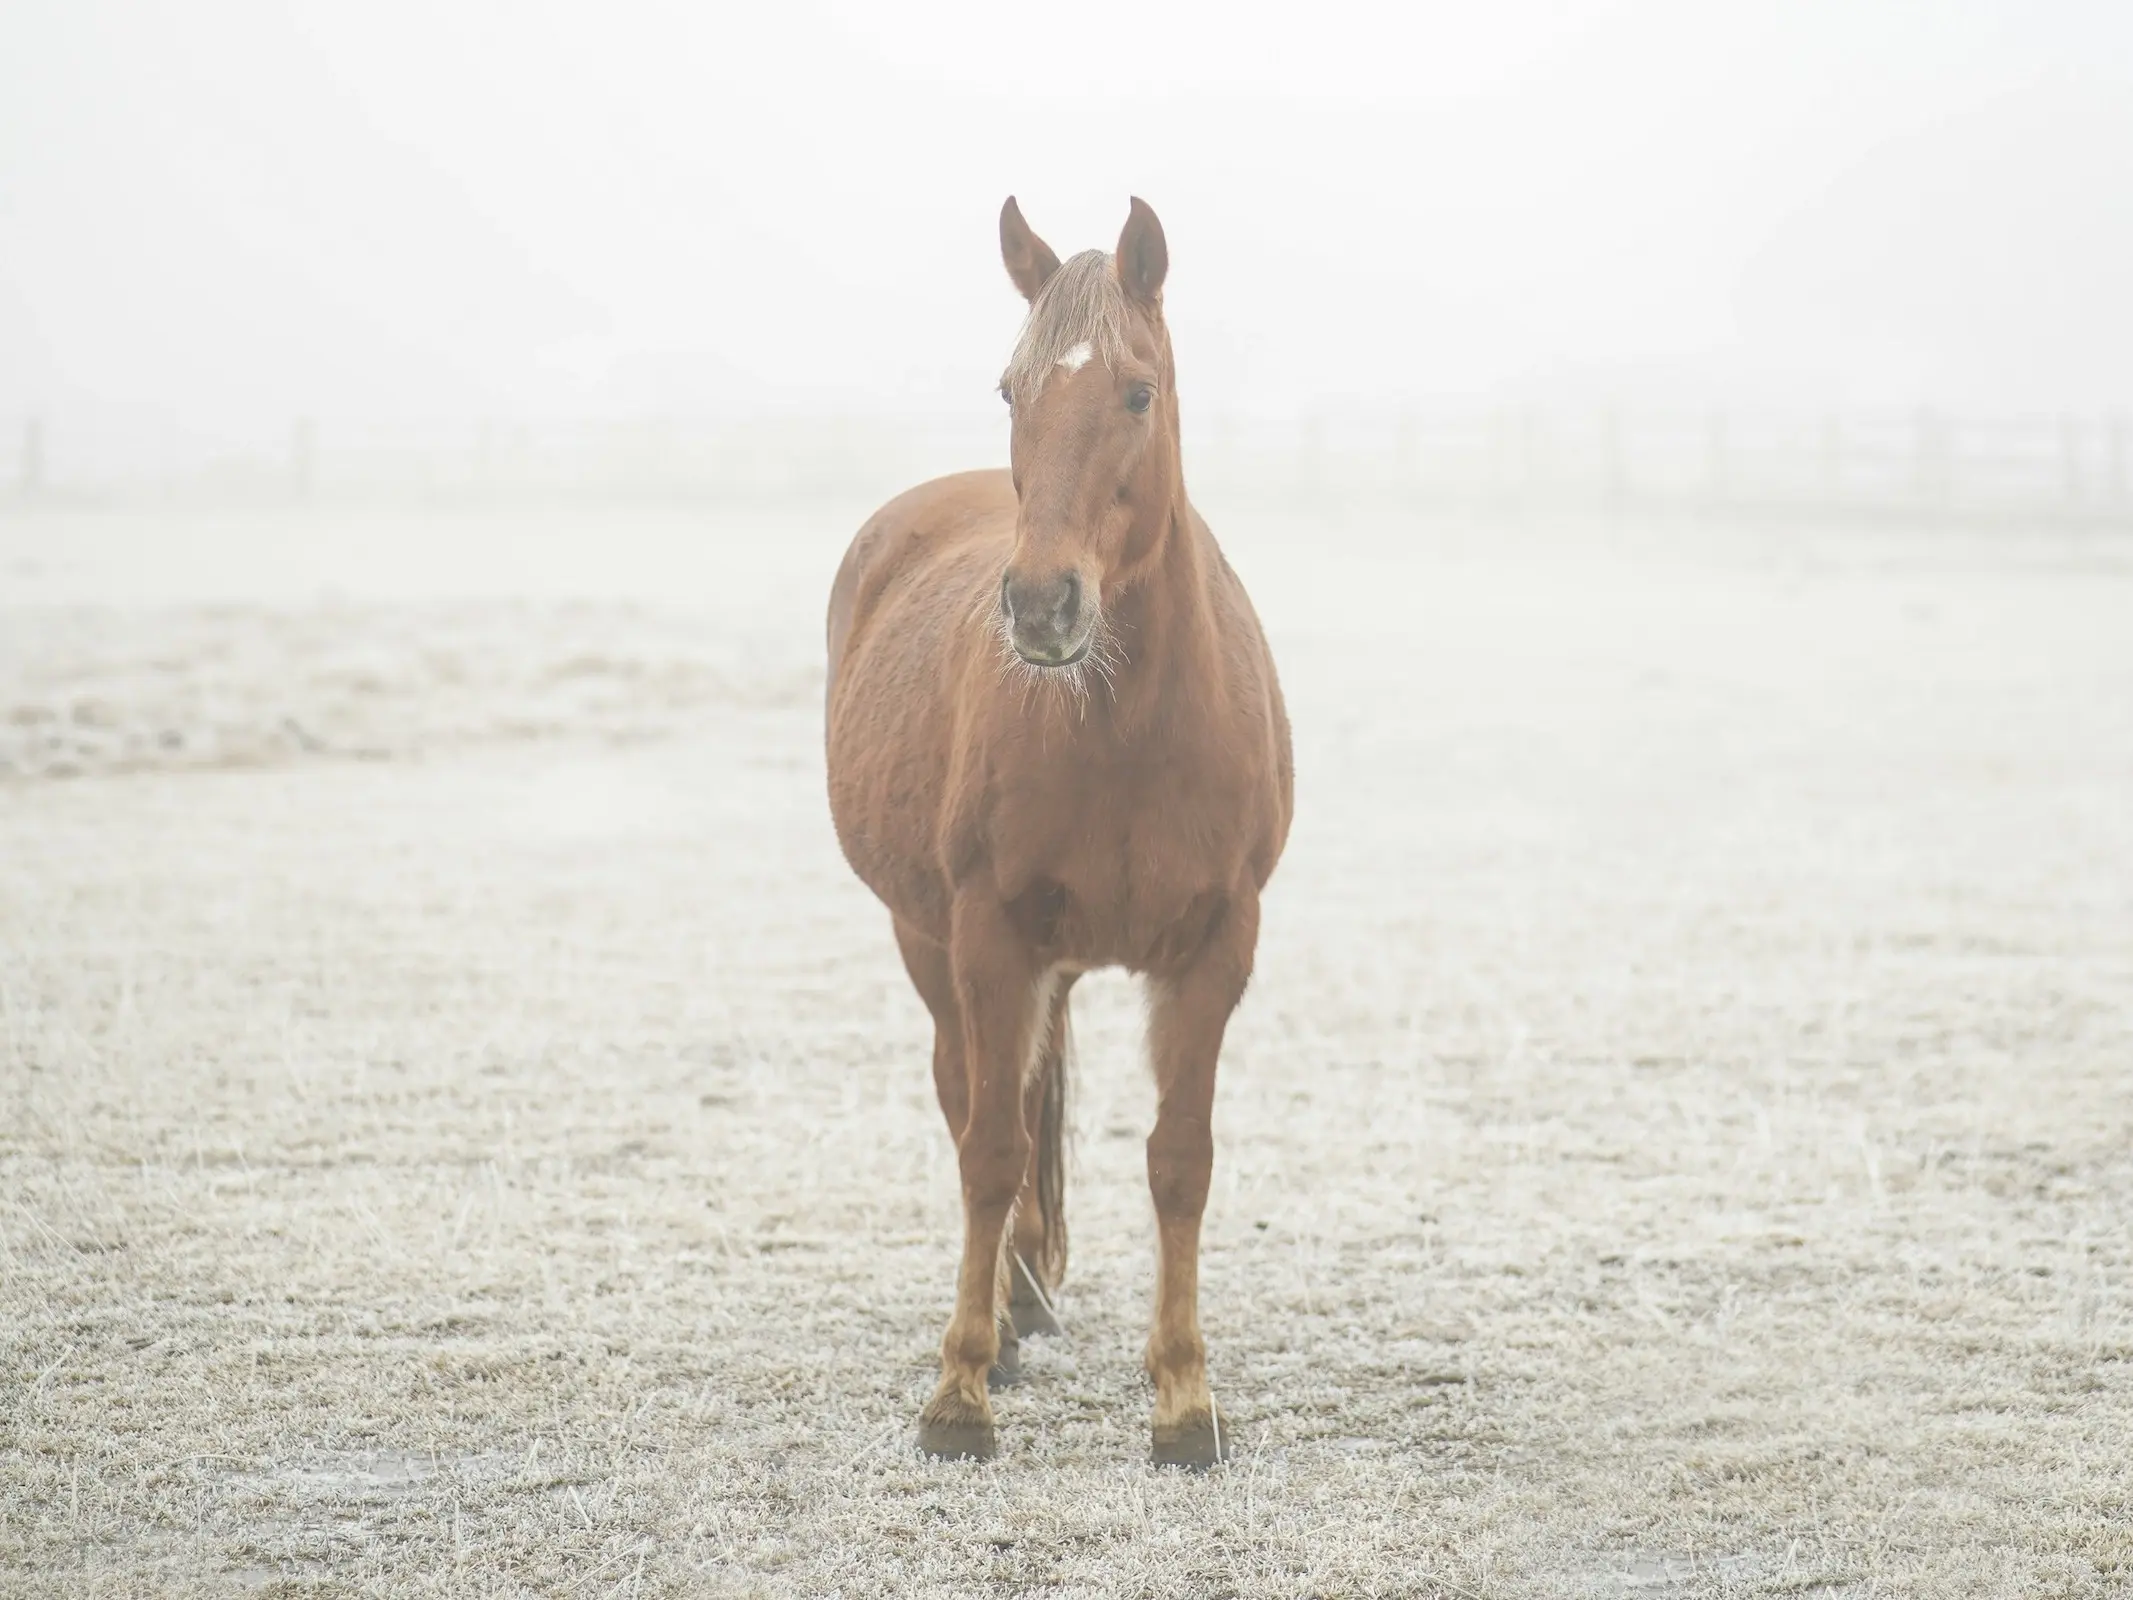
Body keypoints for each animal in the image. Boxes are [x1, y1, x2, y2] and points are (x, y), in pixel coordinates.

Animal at [823, 197, 1288, 1467]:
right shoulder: (989, 933)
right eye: (1010, 388)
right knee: (972, 1096)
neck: (1126, 728)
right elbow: (989, 1146)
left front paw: (1183, 1398)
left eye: (1137, 390)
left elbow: (1180, 1158)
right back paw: (1012, 1311)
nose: (1041, 605)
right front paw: (959, 1391)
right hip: (928, 937)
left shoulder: (1218, 944)